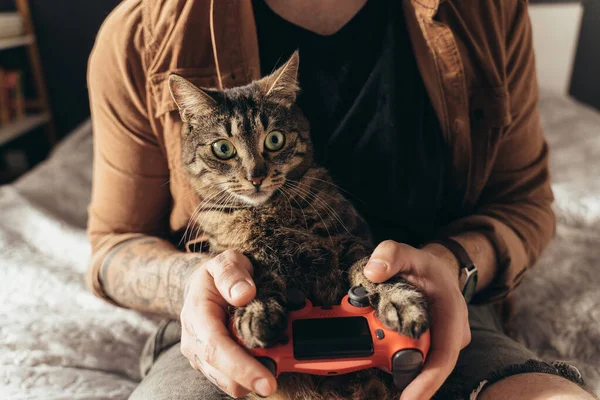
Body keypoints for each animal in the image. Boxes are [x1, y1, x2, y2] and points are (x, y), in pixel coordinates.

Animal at [169, 51, 428, 398]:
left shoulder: (350, 240)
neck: (269, 211)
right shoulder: (239, 254)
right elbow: (256, 278)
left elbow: (370, 268)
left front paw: (401, 302)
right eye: (223, 148)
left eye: (274, 140)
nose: (256, 176)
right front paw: (256, 312)